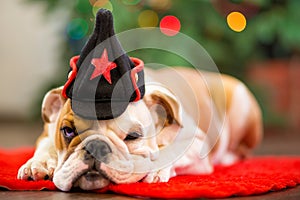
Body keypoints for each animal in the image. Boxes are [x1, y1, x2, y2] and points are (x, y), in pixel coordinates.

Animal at [17, 67, 262, 191]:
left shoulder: (196, 142)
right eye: (68, 131)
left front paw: (156, 169)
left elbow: (170, 151)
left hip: (242, 104)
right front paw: (38, 164)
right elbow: (46, 145)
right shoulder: (48, 133)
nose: (96, 146)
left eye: (133, 136)